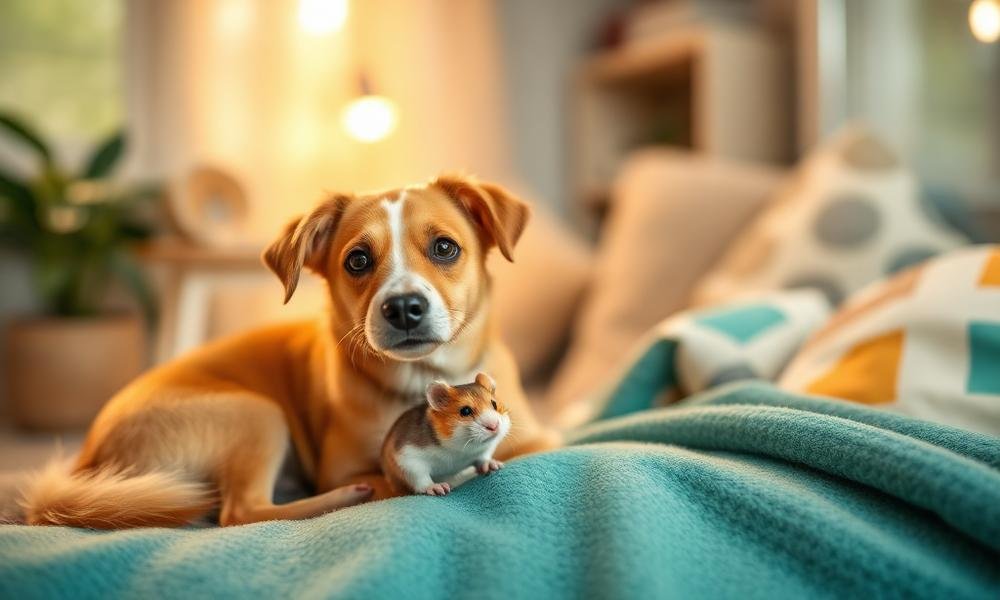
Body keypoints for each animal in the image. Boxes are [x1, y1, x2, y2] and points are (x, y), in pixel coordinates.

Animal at [380, 372, 511, 496]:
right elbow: (420, 476)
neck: (458, 450)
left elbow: (483, 458)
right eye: (465, 411)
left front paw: (490, 464)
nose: (494, 426)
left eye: (494, 404)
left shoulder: (482, 452)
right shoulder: (407, 457)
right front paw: (434, 487)